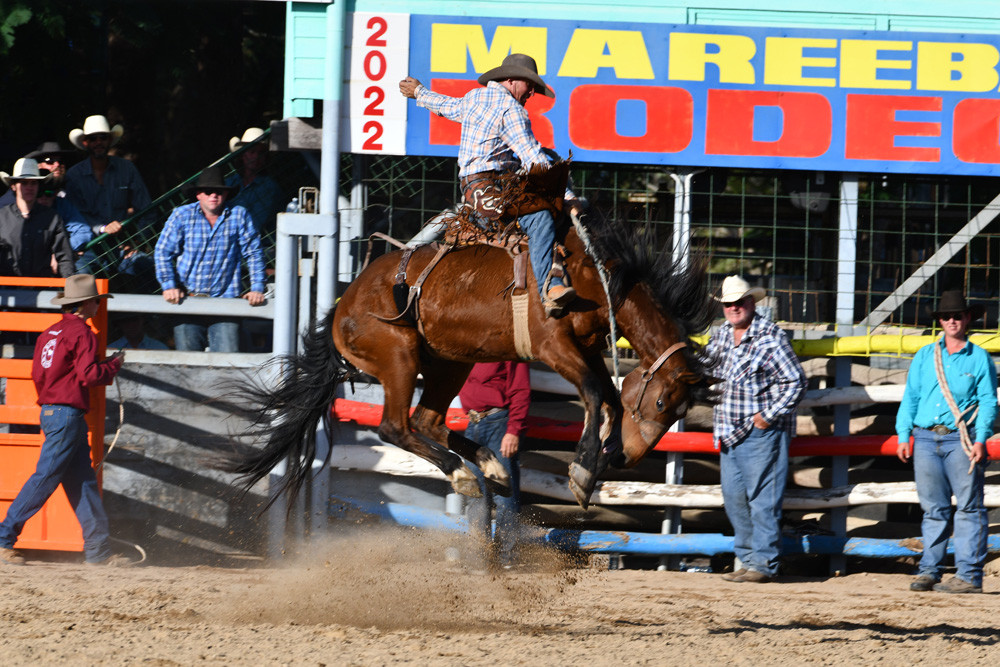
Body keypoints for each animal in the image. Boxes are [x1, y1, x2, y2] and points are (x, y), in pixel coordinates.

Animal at [227, 211, 716, 508]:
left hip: (449, 364)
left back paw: (489, 464)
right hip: (399, 358)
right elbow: (597, 395)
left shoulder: (589, 350)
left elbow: (611, 398)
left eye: (676, 412)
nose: (628, 458)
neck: (592, 276)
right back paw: (462, 473)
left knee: (426, 421)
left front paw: (595, 463)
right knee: (394, 427)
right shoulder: (554, 348)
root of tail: (342, 307)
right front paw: (581, 472)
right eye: (660, 403)